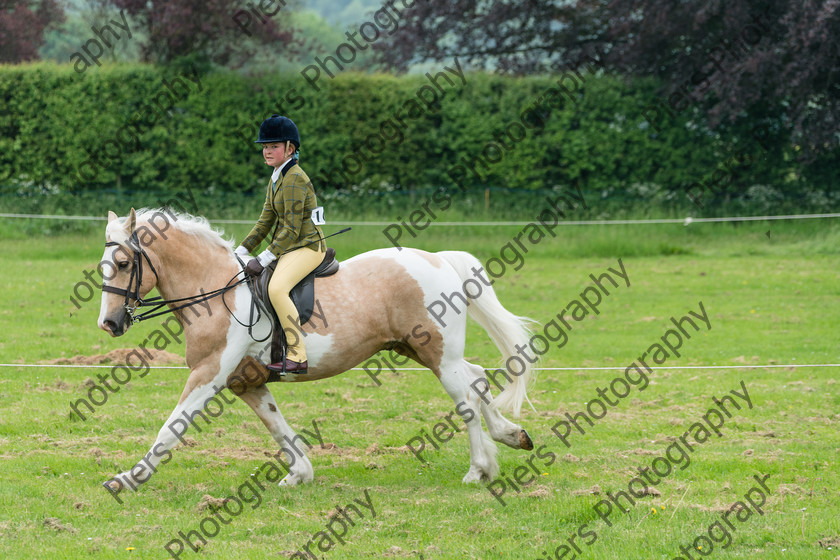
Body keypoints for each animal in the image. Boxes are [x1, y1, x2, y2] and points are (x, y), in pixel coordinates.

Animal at [97, 209, 532, 494]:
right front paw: (300, 473)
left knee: (465, 399)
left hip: (437, 353)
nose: (109, 324)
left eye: (123, 263)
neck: (218, 291)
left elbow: (172, 427)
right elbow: (276, 425)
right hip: (419, 350)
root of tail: (438, 259)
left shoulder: (209, 374)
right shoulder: (245, 380)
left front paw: (129, 478)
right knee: (477, 378)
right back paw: (510, 436)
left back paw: (478, 470)